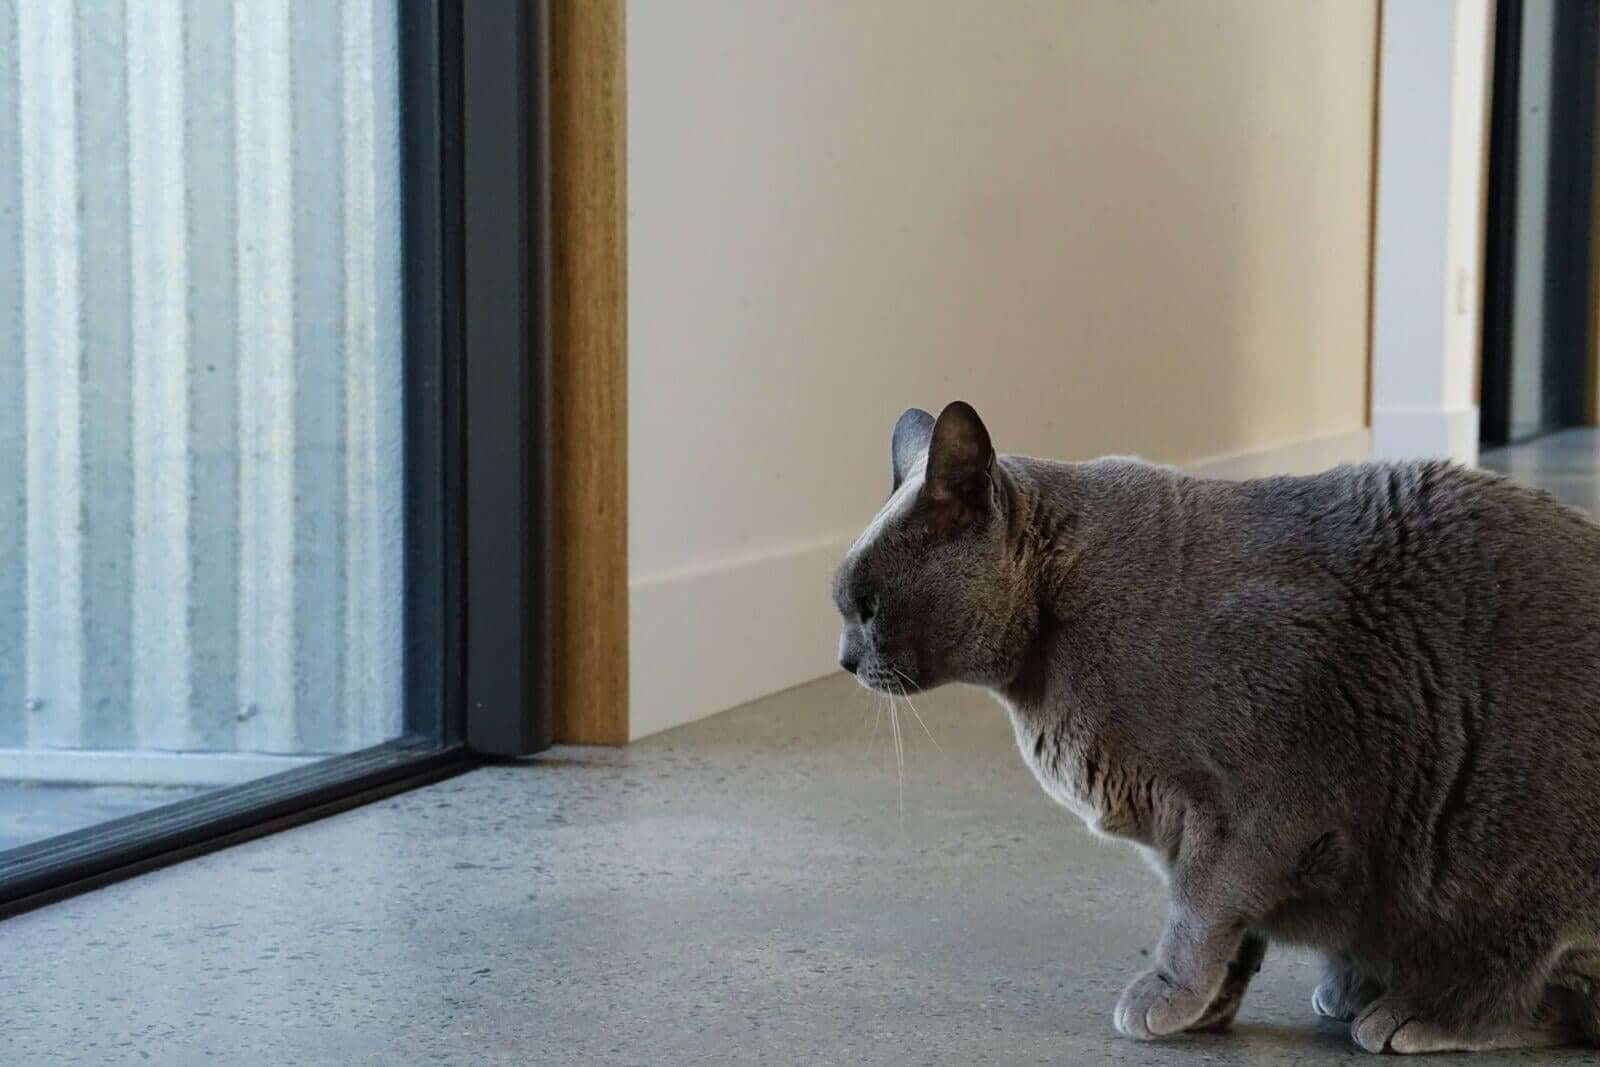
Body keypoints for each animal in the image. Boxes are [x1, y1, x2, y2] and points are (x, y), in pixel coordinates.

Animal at [832, 404, 1600, 1055]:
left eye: (868, 605)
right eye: (841, 604)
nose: (843, 659)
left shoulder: (1257, 807)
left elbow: (1201, 912)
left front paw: (1168, 994)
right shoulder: (1186, 830)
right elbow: (1233, 930)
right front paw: (1208, 1008)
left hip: (1501, 855)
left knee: (1526, 989)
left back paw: (1412, 1012)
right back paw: (1354, 990)